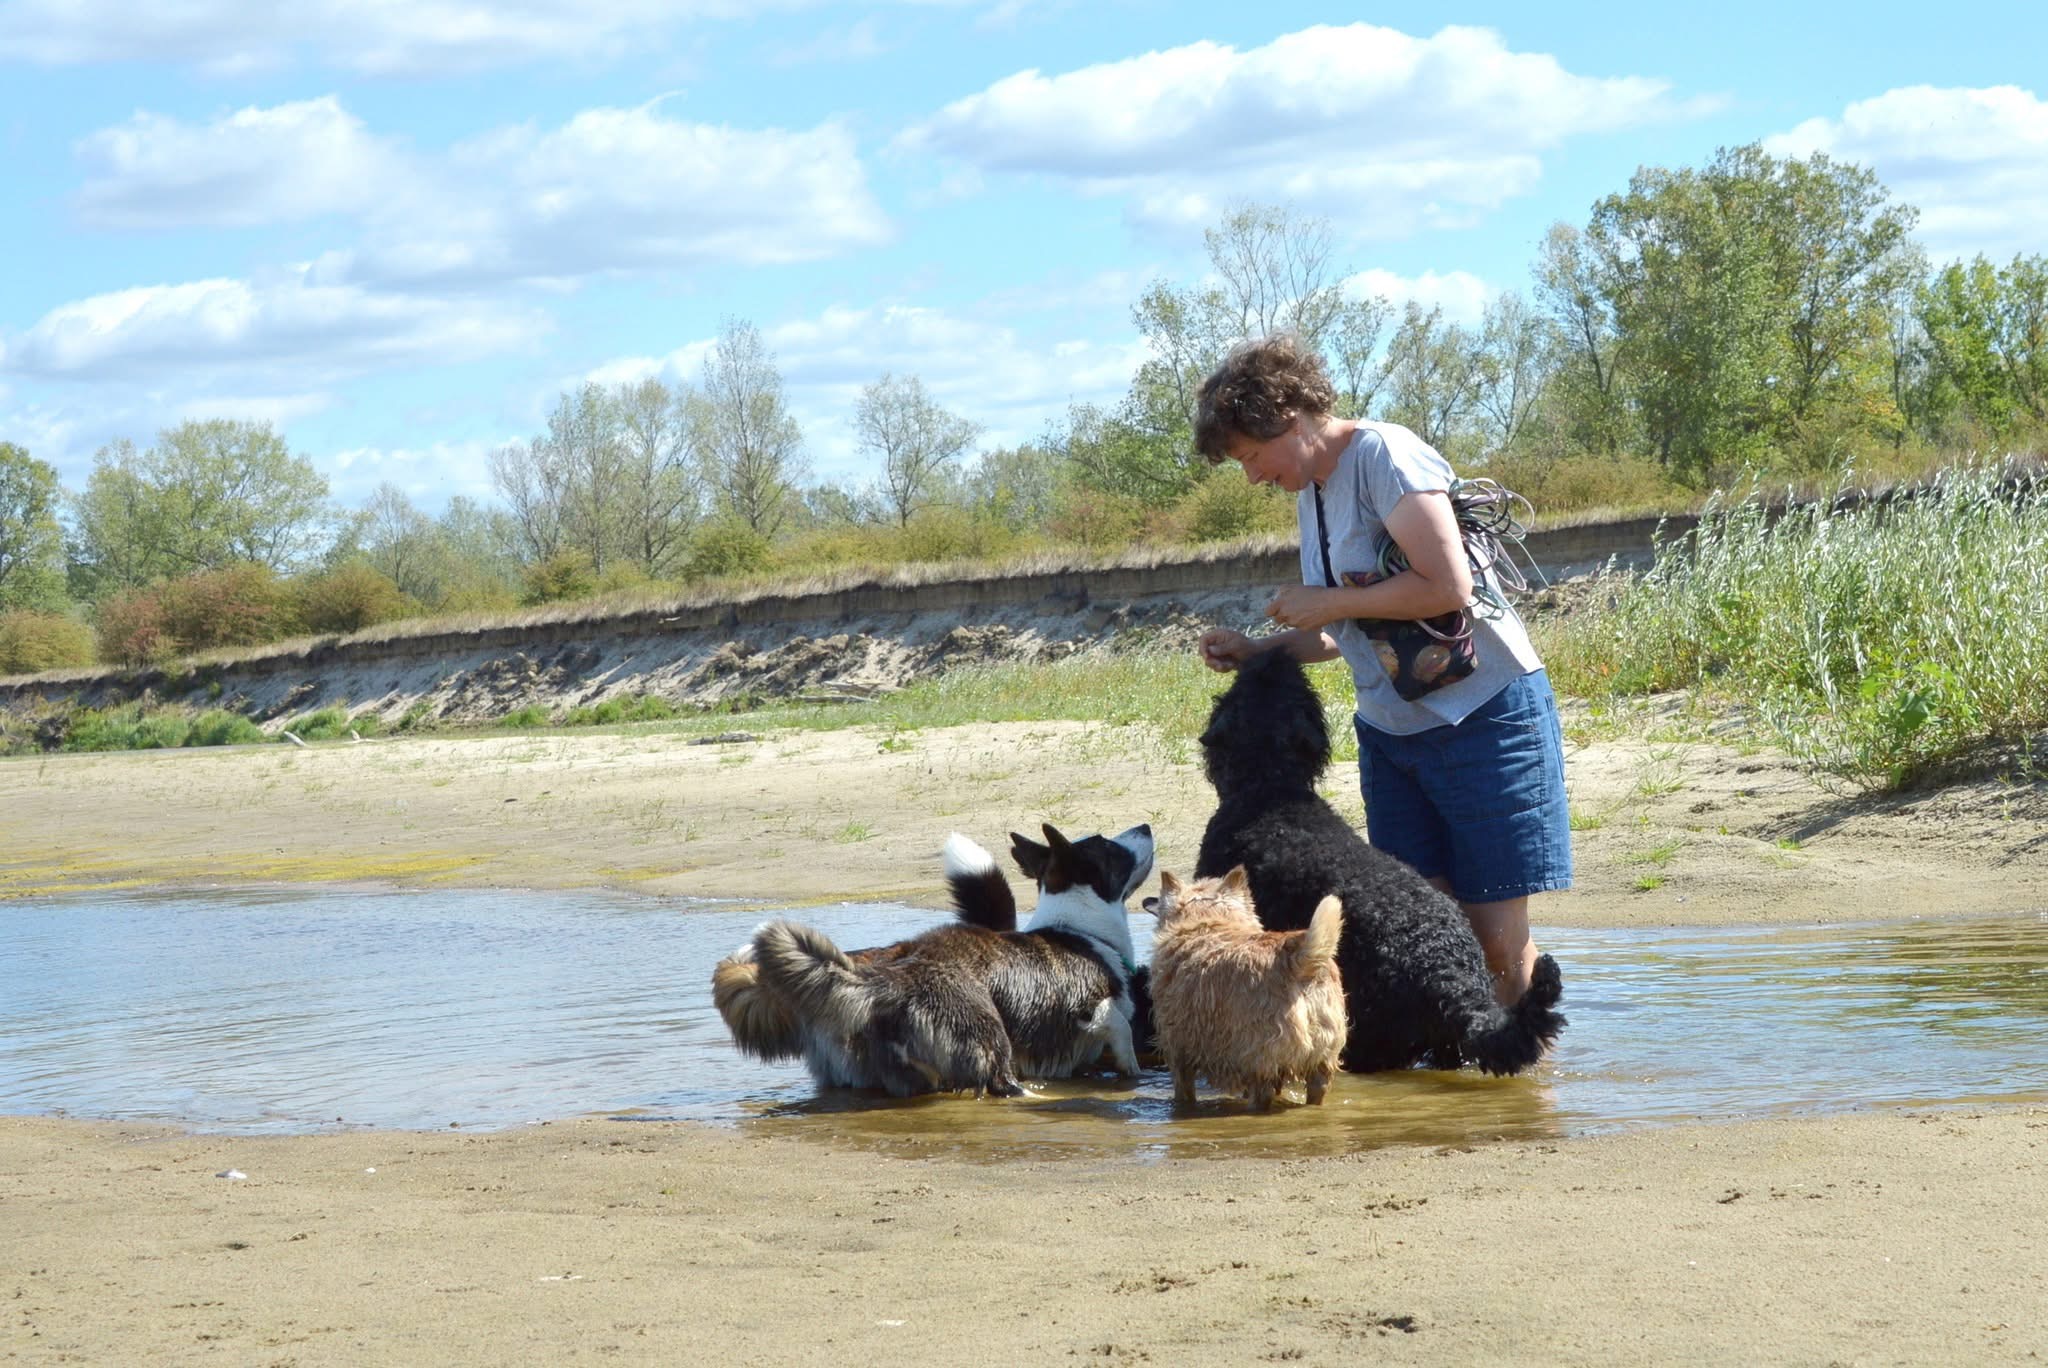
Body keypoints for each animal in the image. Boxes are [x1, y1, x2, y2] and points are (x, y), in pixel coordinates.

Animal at [708, 823, 1155, 1097]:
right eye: (1109, 846)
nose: (1147, 827)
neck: (1080, 926)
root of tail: (881, 986)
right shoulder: (1088, 1005)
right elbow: (1120, 1026)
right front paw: (1131, 1070)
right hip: (988, 1037)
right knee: (1000, 1081)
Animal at [1146, 864, 1351, 1114]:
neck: (1206, 922)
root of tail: (1298, 959)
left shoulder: (1178, 1054)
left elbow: (1184, 1094)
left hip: (1258, 1057)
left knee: (1261, 1095)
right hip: (1323, 1057)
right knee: (1316, 1090)